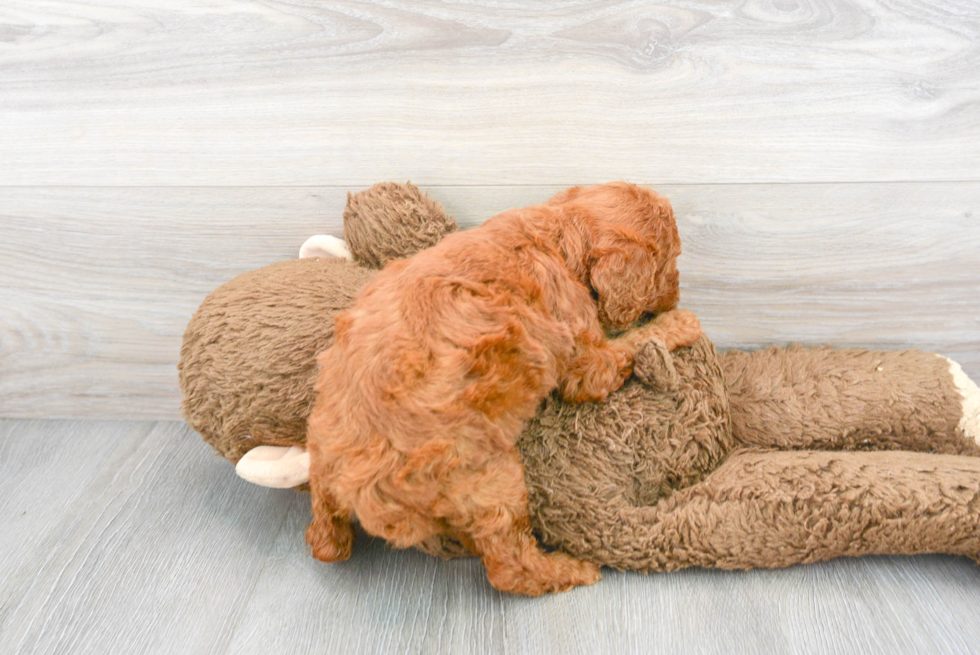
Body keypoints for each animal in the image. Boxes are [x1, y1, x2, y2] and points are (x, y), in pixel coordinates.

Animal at [306, 182, 696, 596]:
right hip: (490, 477)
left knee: (324, 543)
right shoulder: (586, 357)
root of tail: (349, 486)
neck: (555, 235)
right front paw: (680, 322)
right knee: (509, 564)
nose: (675, 296)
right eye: (670, 260)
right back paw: (568, 570)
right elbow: (626, 348)